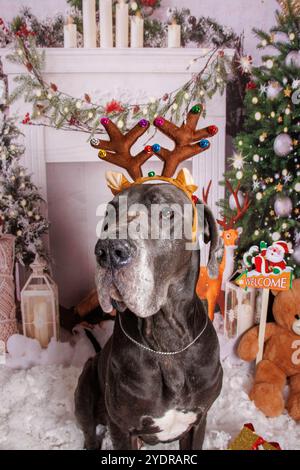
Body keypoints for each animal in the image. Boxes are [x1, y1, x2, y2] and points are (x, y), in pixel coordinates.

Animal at [74, 181, 221, 452]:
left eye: (166, 212)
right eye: (109, 214)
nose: (108, 250)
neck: (166, 339)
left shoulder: (198, 422)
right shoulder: (122, 428)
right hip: (84, 391)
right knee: (89, 432)